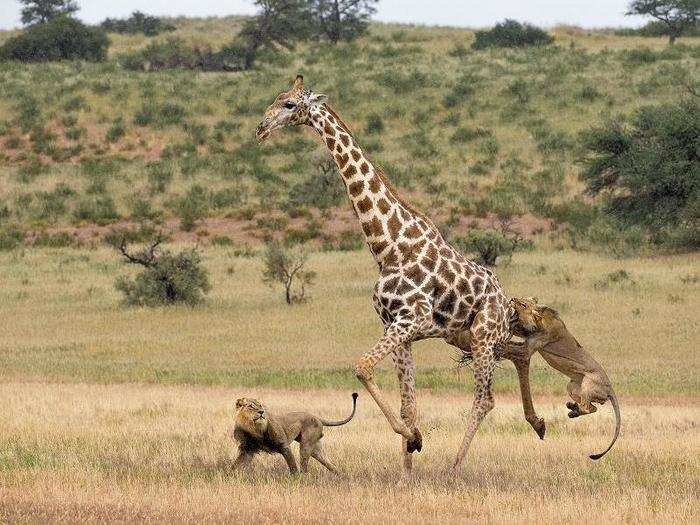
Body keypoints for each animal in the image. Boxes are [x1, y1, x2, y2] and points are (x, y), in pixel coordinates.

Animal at [258, 73, 516, 478]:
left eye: (289, 104)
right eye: (277, 98)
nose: (261, 128)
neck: (387, 245)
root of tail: (507, 308)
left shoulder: (413, 319)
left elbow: (362, 366)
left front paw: (413, 440)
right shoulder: (397, 325)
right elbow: (407, 403)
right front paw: (407, 467)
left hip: (483, 339)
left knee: (484, 399)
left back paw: (454, 467)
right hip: (460, 338)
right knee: (481, 396)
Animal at [506, 298, 620, 458]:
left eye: (523, 304)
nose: (512, 299)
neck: (540, 320)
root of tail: (610, 388)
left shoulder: (527, 349)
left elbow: (508, 347)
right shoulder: (527, 339)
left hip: (588, 383)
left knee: (588, 408)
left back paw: (574, 410)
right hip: (572, 386)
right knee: (593, 408)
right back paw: (573, 409)